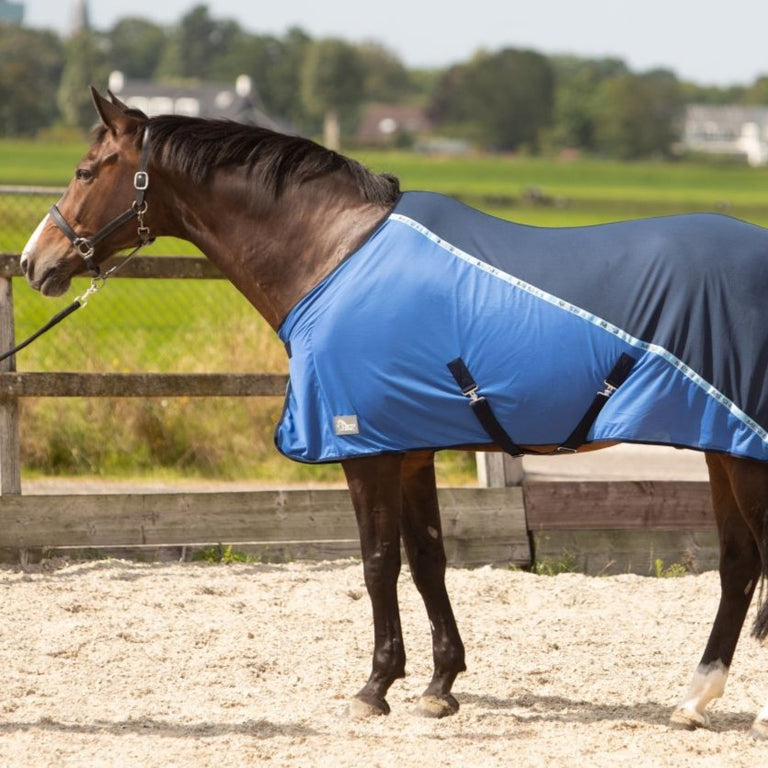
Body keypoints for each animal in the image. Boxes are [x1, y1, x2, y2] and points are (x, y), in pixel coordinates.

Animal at [19, 88, 768, 736]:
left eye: (85, 171)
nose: (34, 263)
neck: (335, 256)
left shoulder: (366, 449)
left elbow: (378, 561)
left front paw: (374, 688)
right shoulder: (410, 447)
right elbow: (428, 558)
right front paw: (439, 687)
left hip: (745, 452)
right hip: (722, 446)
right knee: (737, 565)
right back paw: (694, 701)